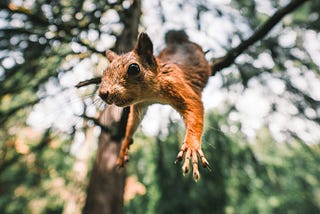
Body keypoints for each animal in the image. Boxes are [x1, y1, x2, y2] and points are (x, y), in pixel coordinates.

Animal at [99, 30, 211, 181]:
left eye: (133, 68)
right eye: (104, 72)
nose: (102, 94)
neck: (150, 94)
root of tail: (179, 41)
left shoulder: (177, 85)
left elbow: (195, 105)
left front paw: (191, 146)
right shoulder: (140, 105)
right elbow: (133, 122)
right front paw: (125, 144)